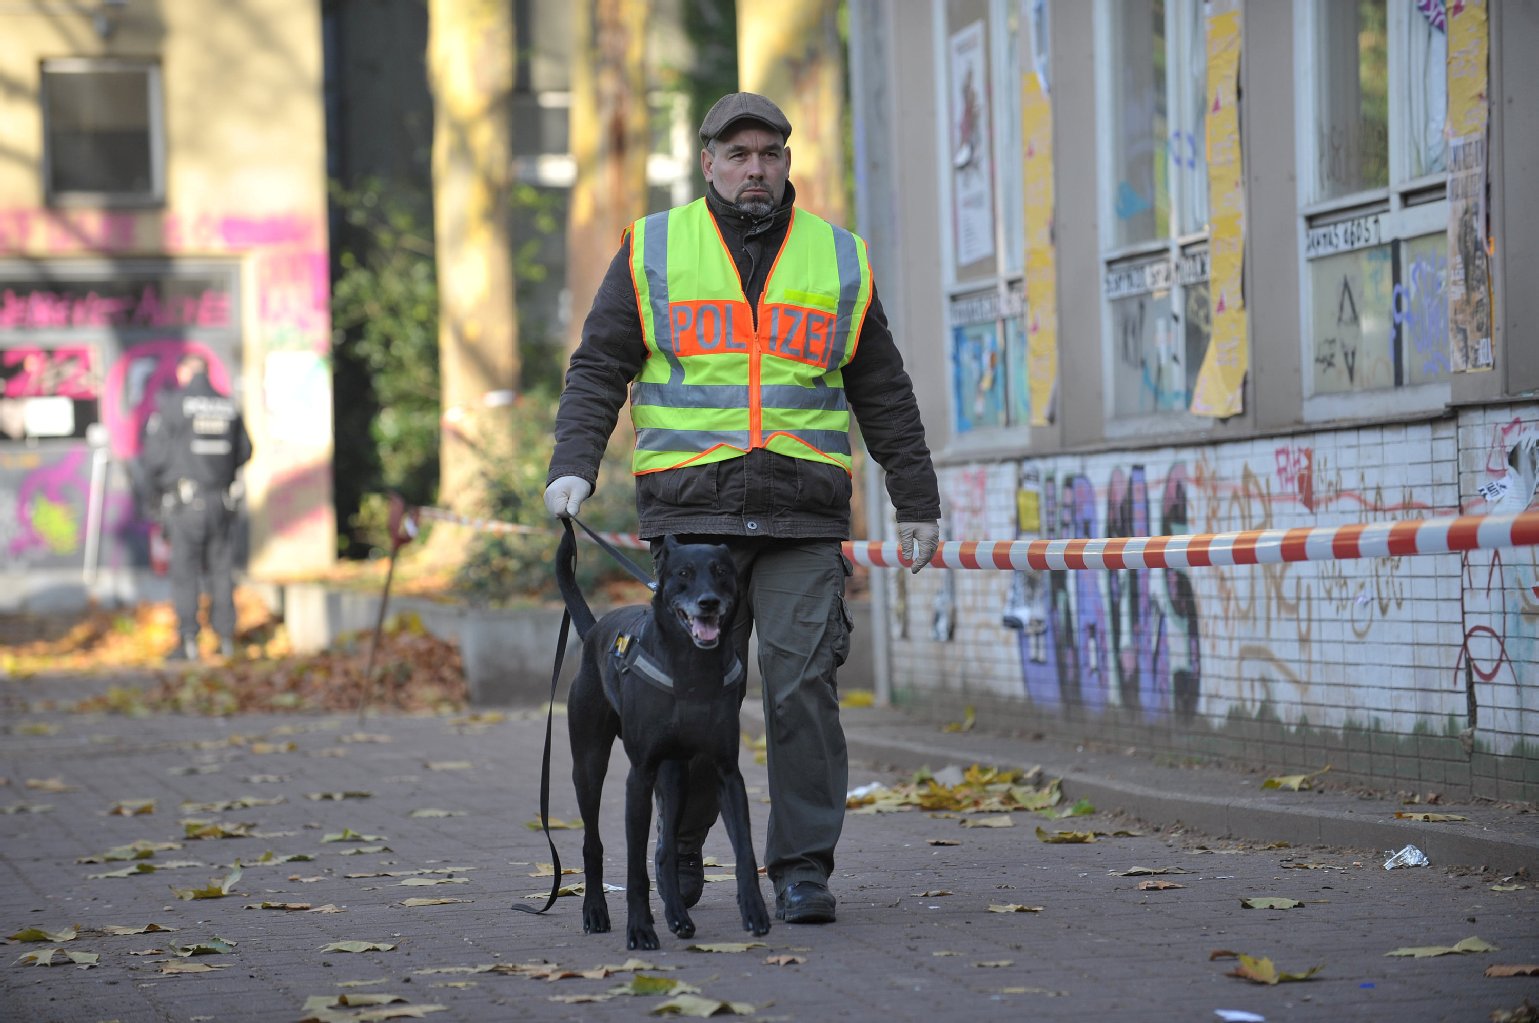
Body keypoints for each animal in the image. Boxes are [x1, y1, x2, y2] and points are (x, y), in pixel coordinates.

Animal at [563, 535, 769, 947]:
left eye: (721, 572)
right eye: (683, 574)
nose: (708, 602)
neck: (691, 666)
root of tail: (593, 632)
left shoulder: (726, 771)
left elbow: (745, 851)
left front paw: (755, 910)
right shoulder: (640, 776)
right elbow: (634, 870)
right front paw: (640, 929)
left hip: (675, 775)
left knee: (665, 851)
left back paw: (677, 915)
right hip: (589, 765)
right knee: (593, 843)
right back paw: (595, 911)